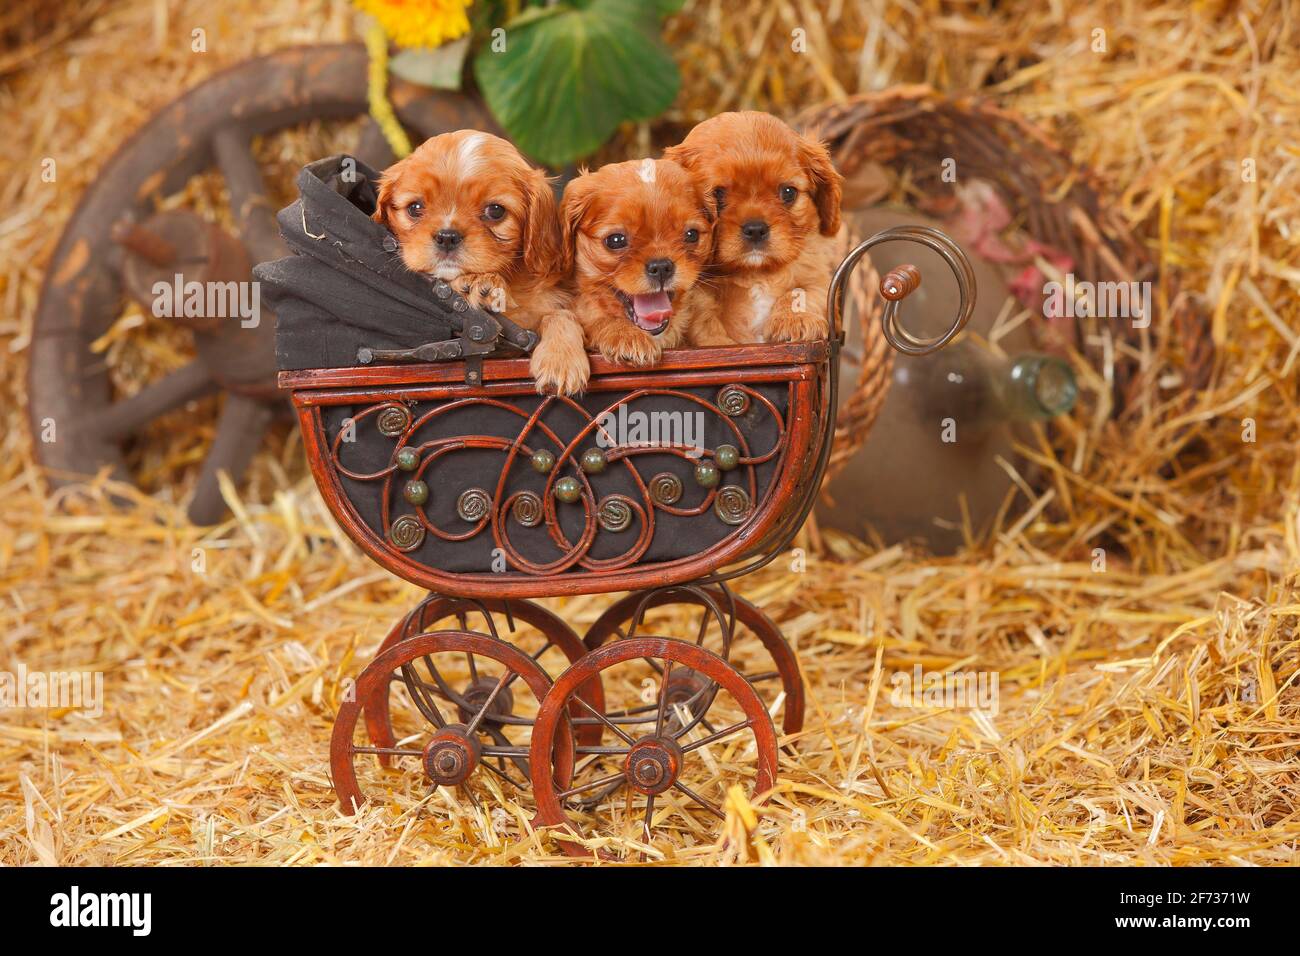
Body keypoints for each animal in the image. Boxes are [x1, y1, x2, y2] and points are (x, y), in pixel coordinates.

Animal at [670, 111, 842, 343]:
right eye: (717, 195)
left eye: (788, 192)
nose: (755, 229)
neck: (756, 275)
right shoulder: (698, 303)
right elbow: (706, 327)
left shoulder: (818, 275)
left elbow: (809, 290)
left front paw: (795, 320)